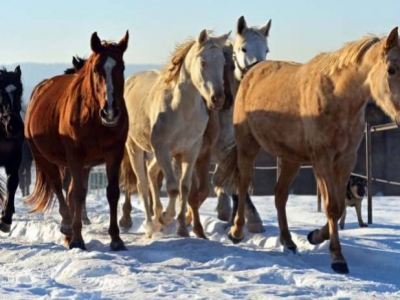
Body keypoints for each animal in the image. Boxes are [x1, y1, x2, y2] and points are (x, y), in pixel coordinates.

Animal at [24, 31, 130, 251]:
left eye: (121, 67)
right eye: (96, 68)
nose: (110, 112)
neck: (94, 118)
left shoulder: (114, 153)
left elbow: (112, 192)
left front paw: (116, 239)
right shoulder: (75, 155)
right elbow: (78, 193)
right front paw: (77, 239)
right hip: (43, 157)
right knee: (58, 186)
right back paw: (66, 225)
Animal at [123, 29, 230, 237]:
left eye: (223, 62)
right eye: (203, 62)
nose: (218, 99)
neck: (182, 110)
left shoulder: (190, 151)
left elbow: (185, 187)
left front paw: (181, 227)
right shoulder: (164, 149)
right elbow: (172, 188)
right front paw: (166, 217)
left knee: (151, 171)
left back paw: (157, 218)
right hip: (135, 148)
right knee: (142, 183)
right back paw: (151, 224)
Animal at [216, 27, 400, 274]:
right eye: (391, 69)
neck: (337, 97)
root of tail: (250, 72)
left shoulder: (346, 160)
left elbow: (339, 207)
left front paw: (315, 237)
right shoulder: (322, 159)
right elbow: (333, 206)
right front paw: (337, 258)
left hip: (290, 158)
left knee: (280, 195)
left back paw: (288, 242)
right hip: (248, 146)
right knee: (243, 184)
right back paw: (236, 232)